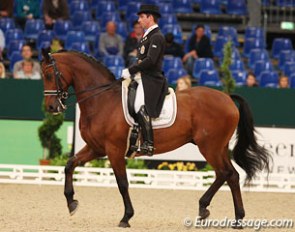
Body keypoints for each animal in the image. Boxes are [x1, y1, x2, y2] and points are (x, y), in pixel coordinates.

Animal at [40, 50, 272, 228]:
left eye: (50, 74)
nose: (51, 107)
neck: (101, 100)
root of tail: (227, 98)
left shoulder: (114, 150)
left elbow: (122, 183)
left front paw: (126, 217)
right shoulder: (96, 148)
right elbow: (69, 165)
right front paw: (71, 202)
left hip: (210, 147)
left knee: (224, 173)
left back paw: (207, 209)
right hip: (218, 147)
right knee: (231, 175)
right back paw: (235, 218)